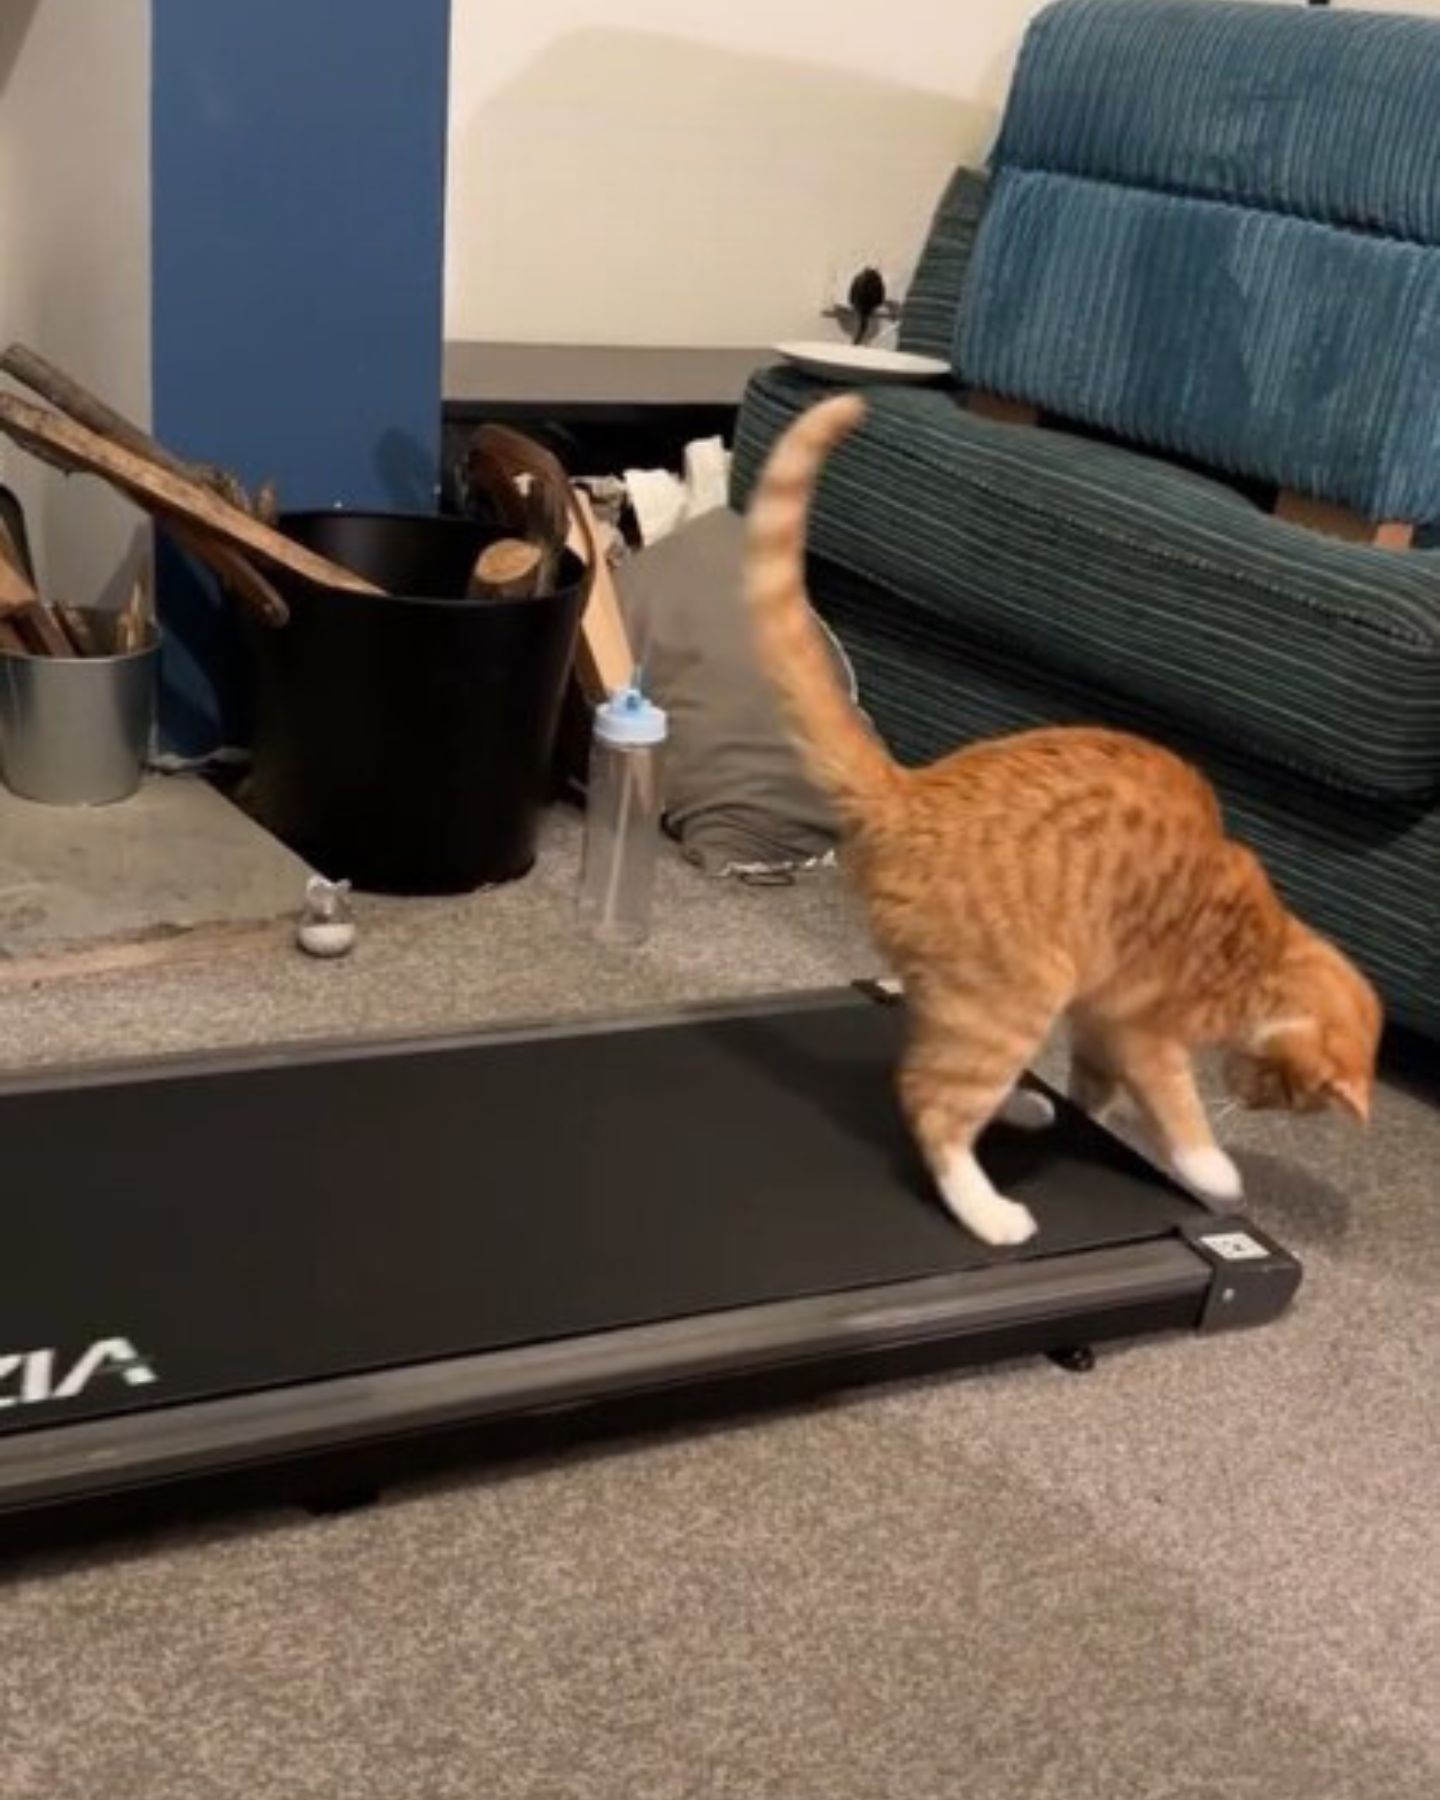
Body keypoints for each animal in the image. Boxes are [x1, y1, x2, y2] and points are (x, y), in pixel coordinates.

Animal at [748, 396, 1375, 1245]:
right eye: (1292, 1096)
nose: (1250, 1098)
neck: (1264, 953)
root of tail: (909, 791)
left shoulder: (1103, 1021)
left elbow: (1095, 1086)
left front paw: (1093, 1119)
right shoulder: (1147, 1031)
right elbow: (1177, 1109)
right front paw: (1213, 1171)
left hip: (969, 997)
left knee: (927, 1057)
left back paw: (1022, 1105)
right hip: (1017, 993)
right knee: (929, 1101)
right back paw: (990, 1213)